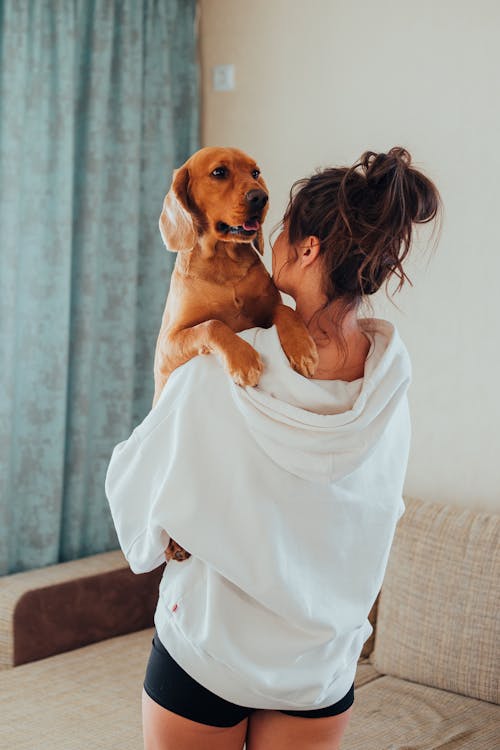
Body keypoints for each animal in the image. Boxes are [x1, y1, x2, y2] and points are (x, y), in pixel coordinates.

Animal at [154, 148, 318, 564]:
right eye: (219, 173)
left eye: (256, 172)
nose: (260, 197)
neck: (224, 261)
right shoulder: (169, 344)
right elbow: (213, 325)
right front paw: (244, 359)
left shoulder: (271, 306)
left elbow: (287, 313)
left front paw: (303, 348)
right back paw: (176, 545)